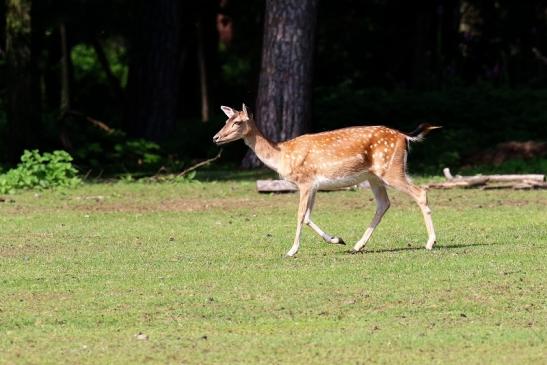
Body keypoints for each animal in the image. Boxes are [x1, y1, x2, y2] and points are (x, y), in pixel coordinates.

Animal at [212, 103, 444, 256]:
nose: (215, 137)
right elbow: (307, 217)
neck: (282, 155)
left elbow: (299, 215)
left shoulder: (305, 181)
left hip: (391, 169)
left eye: (238, 122)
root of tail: (405, 137)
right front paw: (337, 239)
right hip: (374, 176)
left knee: (420, 192)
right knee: (383, 203)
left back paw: (430, 242)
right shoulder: (314, 185)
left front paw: (292, 250)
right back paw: (357, 245)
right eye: (226, 120)